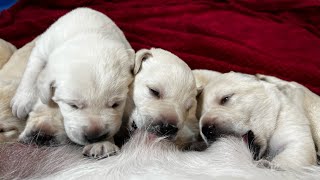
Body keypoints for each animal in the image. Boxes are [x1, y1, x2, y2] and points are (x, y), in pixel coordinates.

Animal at [8, 8, 141, 158]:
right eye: (73, 105)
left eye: (116, 104)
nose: (95, 136)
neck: (90, 38)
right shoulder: (44, 50)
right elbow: (33, 69)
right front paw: (23, 100)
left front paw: (102, 144)